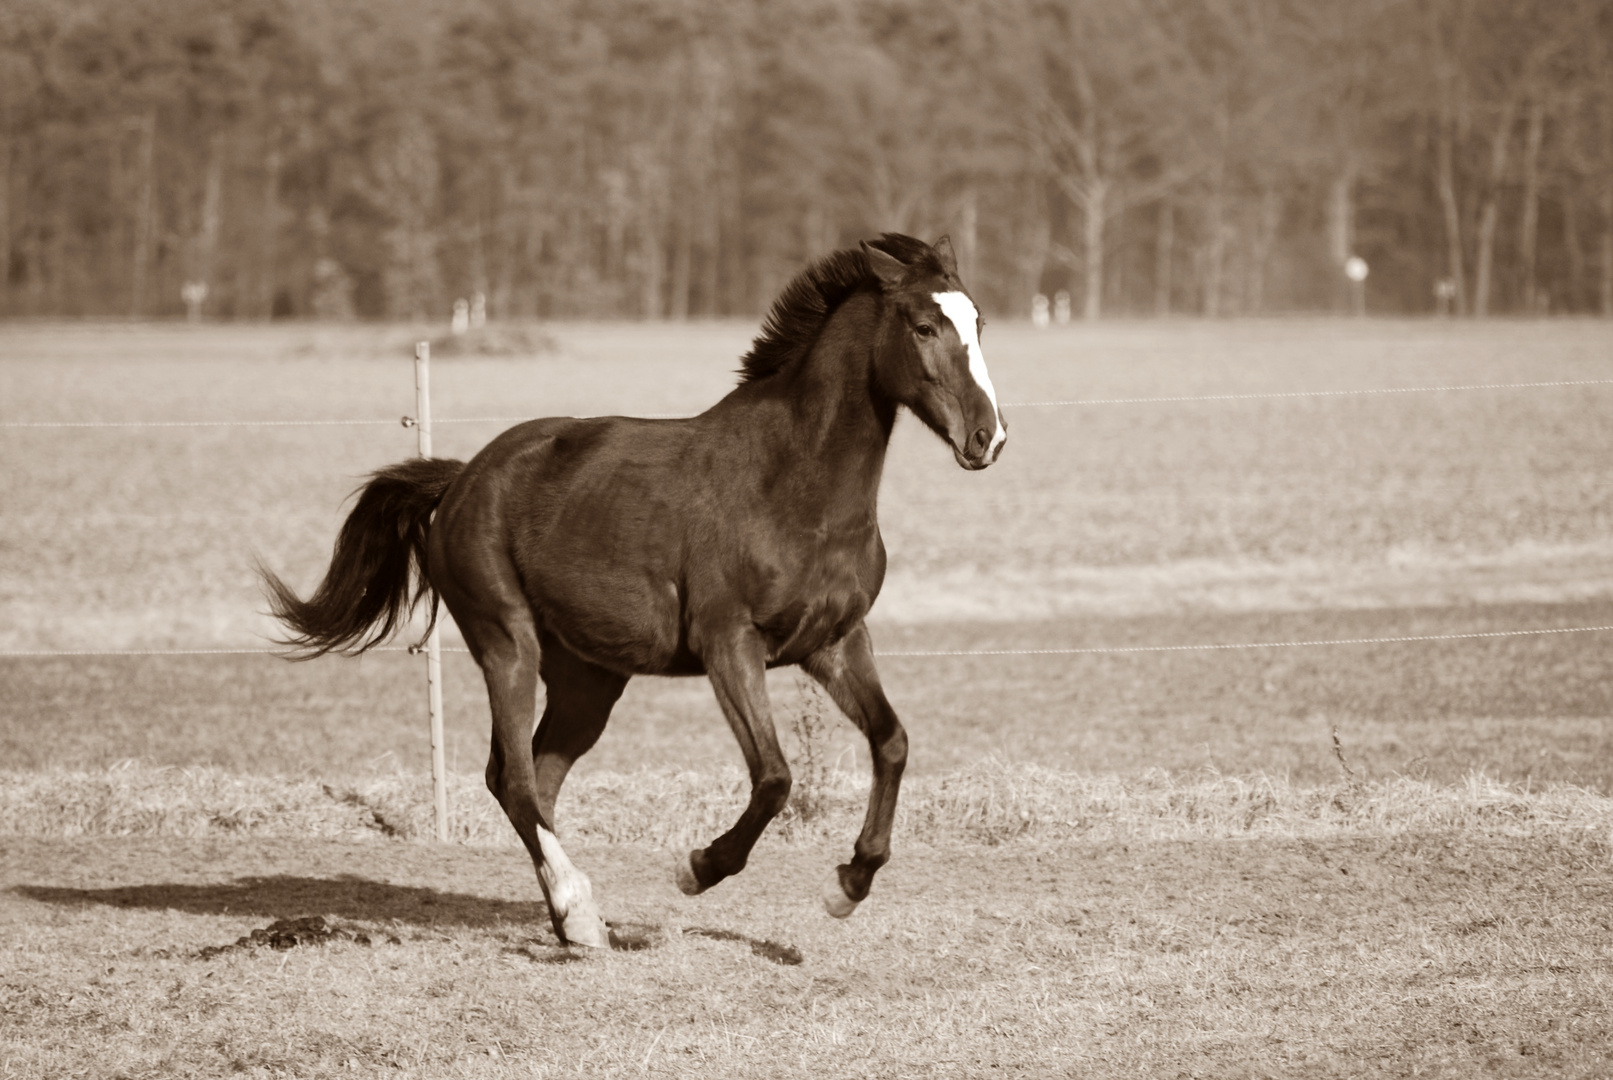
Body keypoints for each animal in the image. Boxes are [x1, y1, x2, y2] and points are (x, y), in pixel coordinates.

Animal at [259, 235, 1000, 947]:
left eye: (979, 322)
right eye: (924, 325)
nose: (987, 437)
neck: (794, 485)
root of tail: (461, 479)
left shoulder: (834, 642)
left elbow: (891, 742)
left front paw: (847, 885)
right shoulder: (730, 644)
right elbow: (775, 776)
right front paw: (697, 868)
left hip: (588, 679)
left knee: (536, 778)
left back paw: (571, 918)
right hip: (506, 643)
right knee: (515, 781)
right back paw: (581, 915)